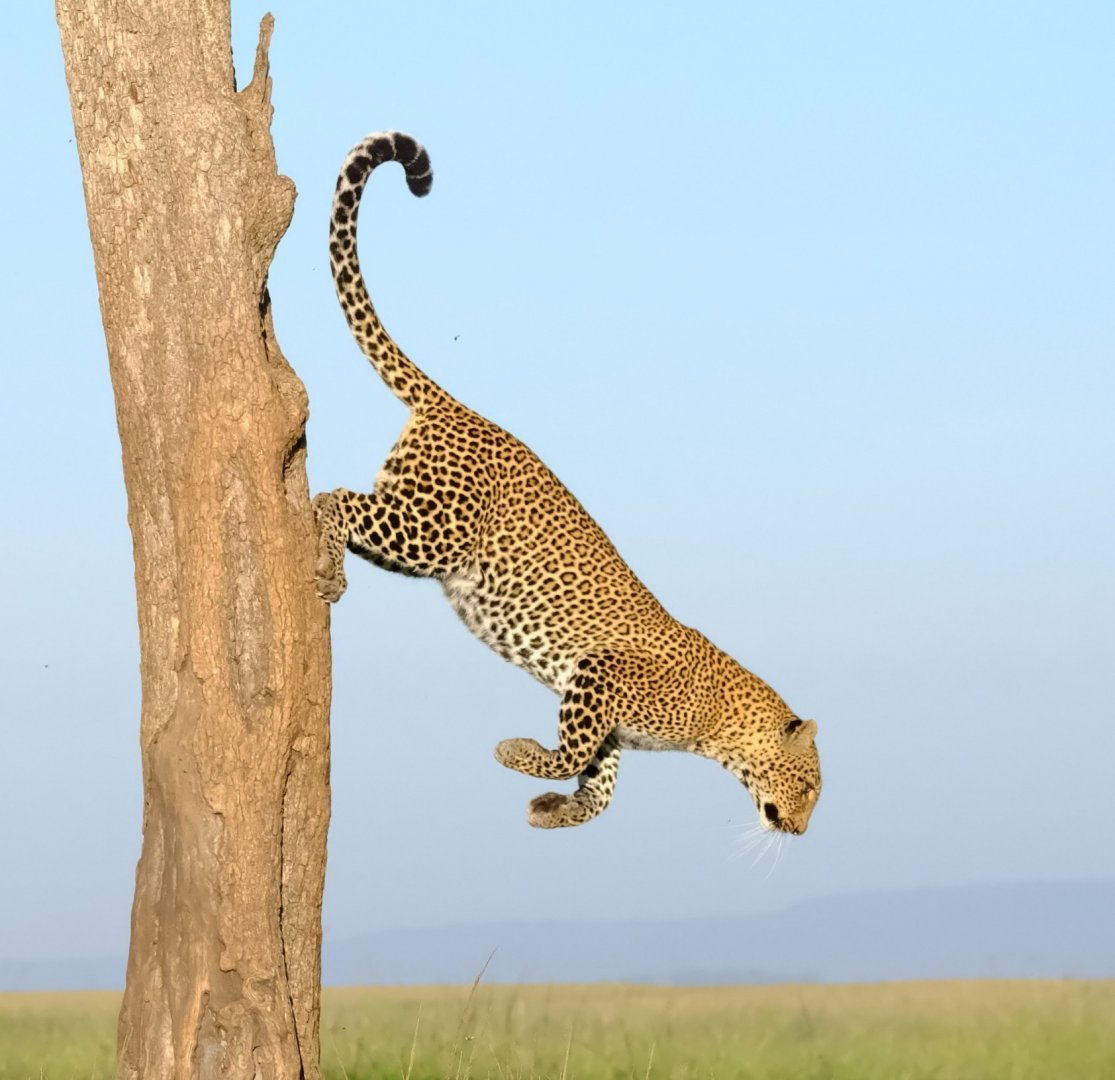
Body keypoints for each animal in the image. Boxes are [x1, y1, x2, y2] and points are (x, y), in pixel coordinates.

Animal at [313, 130, 822, 833]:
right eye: (809, 786)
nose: (800, 831)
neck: (721, 728)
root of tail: (464, 411)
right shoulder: (600, 675)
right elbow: (571, 753)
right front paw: (517, 754)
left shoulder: (607, 717)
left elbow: (601, 782)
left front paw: (554, 810)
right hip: (432, 533)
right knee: (331, 497)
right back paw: (327, 569)